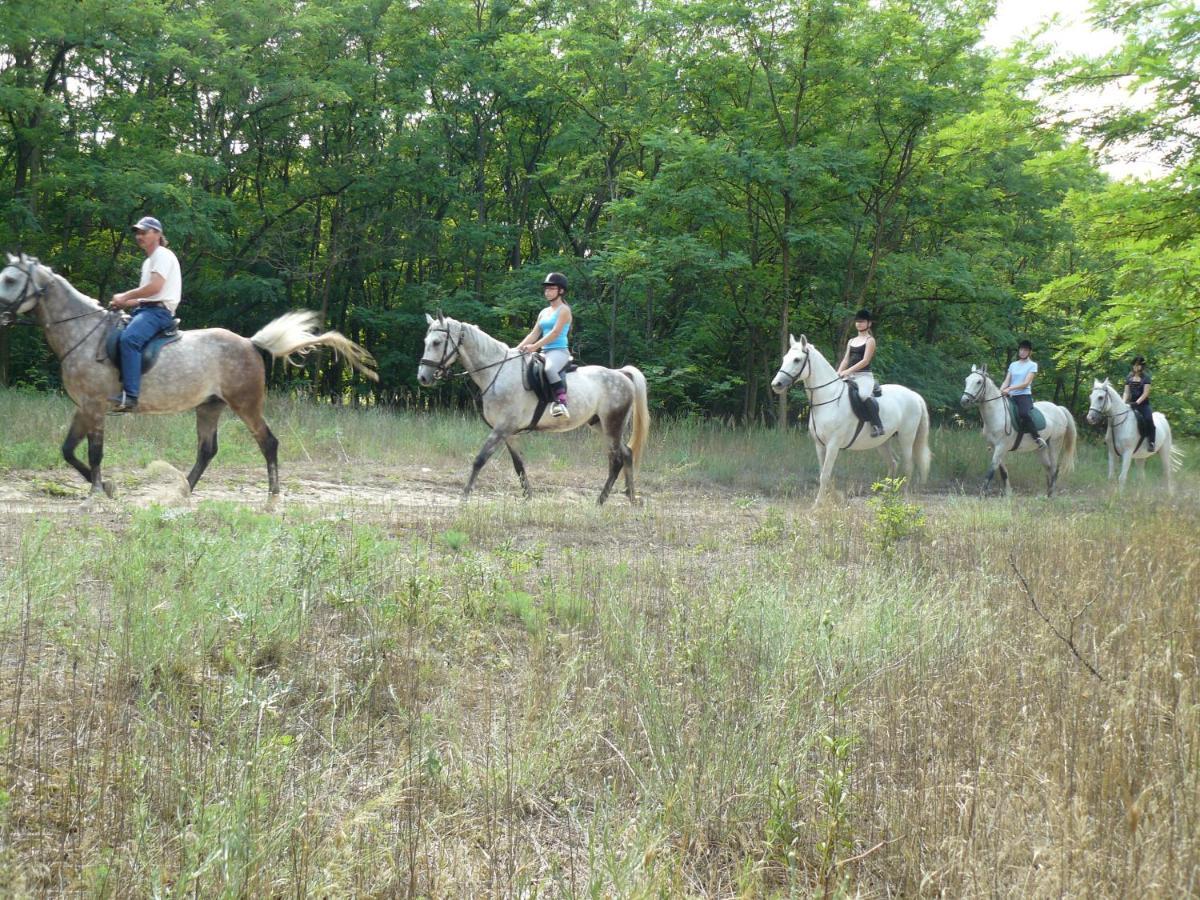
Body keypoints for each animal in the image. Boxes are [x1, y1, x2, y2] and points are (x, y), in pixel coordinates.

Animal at [0, 255, 374, 501]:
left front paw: (96, 491)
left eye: (11, 280)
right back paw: (183, 490)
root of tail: (251, 343)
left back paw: (273, 494)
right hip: (209, 406)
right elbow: (68, 451)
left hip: (246, 404)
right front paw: (105, 487)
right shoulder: (83, 407)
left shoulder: (94, 406)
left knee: (267, 442)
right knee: (207, 450)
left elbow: (95, 453)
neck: (82, 333)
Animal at [417, 314, 652, 504]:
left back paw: (601, 501)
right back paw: (631, 498)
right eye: (426, 342)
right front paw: (528, 498)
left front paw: (465, 497)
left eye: (437, 342)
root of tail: (621, 374)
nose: (423, 378)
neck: (496, 371)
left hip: (612, 424)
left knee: (617, 460)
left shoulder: (502, 428)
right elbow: (519, 465)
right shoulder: (509, 433)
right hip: (600, 425)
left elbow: (479, 460)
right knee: (627, 453)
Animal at [772, 336, 931, 504]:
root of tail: (914, 395)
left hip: (906, 437)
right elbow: (824, 473)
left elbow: (825, 475)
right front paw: (833, 497)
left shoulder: (833, 445)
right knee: (893, 462)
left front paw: (818, 504)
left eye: (797, 360)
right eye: (785, 358)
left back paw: (904, 498)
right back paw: (887, 496)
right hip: (882, 442)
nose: (776, 384)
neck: (828, 399)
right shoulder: (820, 445)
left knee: (908, 465)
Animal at [960, 362, 1084, 496]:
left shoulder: (1001, 446)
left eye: (978, 382)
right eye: (966, 380)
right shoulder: (995, 447)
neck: (997, 413)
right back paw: (1047, 493)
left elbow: (991, 469)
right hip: (1041, 449)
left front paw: (982, 493)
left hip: (1055, 444)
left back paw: (1051, 494)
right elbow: (1003, 471)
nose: (964, 401)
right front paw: (1008, 493)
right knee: (1048, 467)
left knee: (1055, 468)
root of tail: (1059, 408)